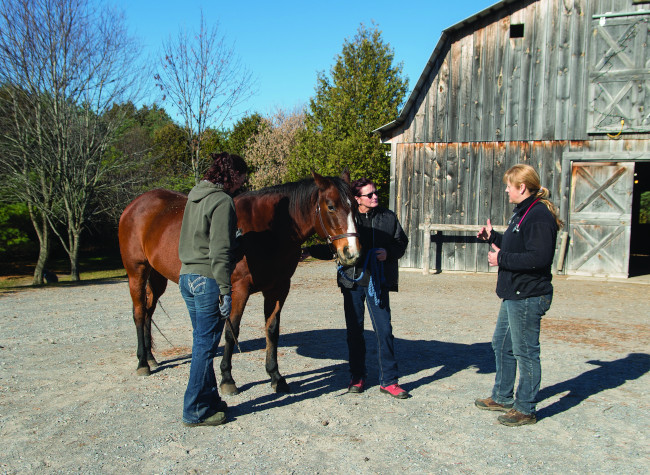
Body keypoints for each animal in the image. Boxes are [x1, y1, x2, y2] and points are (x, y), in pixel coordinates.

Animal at [117, 171, 360, 394]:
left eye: (356, 206)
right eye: (331, 206)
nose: (351, 253)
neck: (269, 230)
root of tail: (135, 205)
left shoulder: (278, 288)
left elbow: (272, 329)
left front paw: (276, 377)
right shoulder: (237, 289)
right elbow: (231, 330)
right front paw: (227, 379)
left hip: (157, 277)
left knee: (148, 312)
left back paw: (151, 357)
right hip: (136, 272)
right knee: (139, 313)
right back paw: (142, 363)